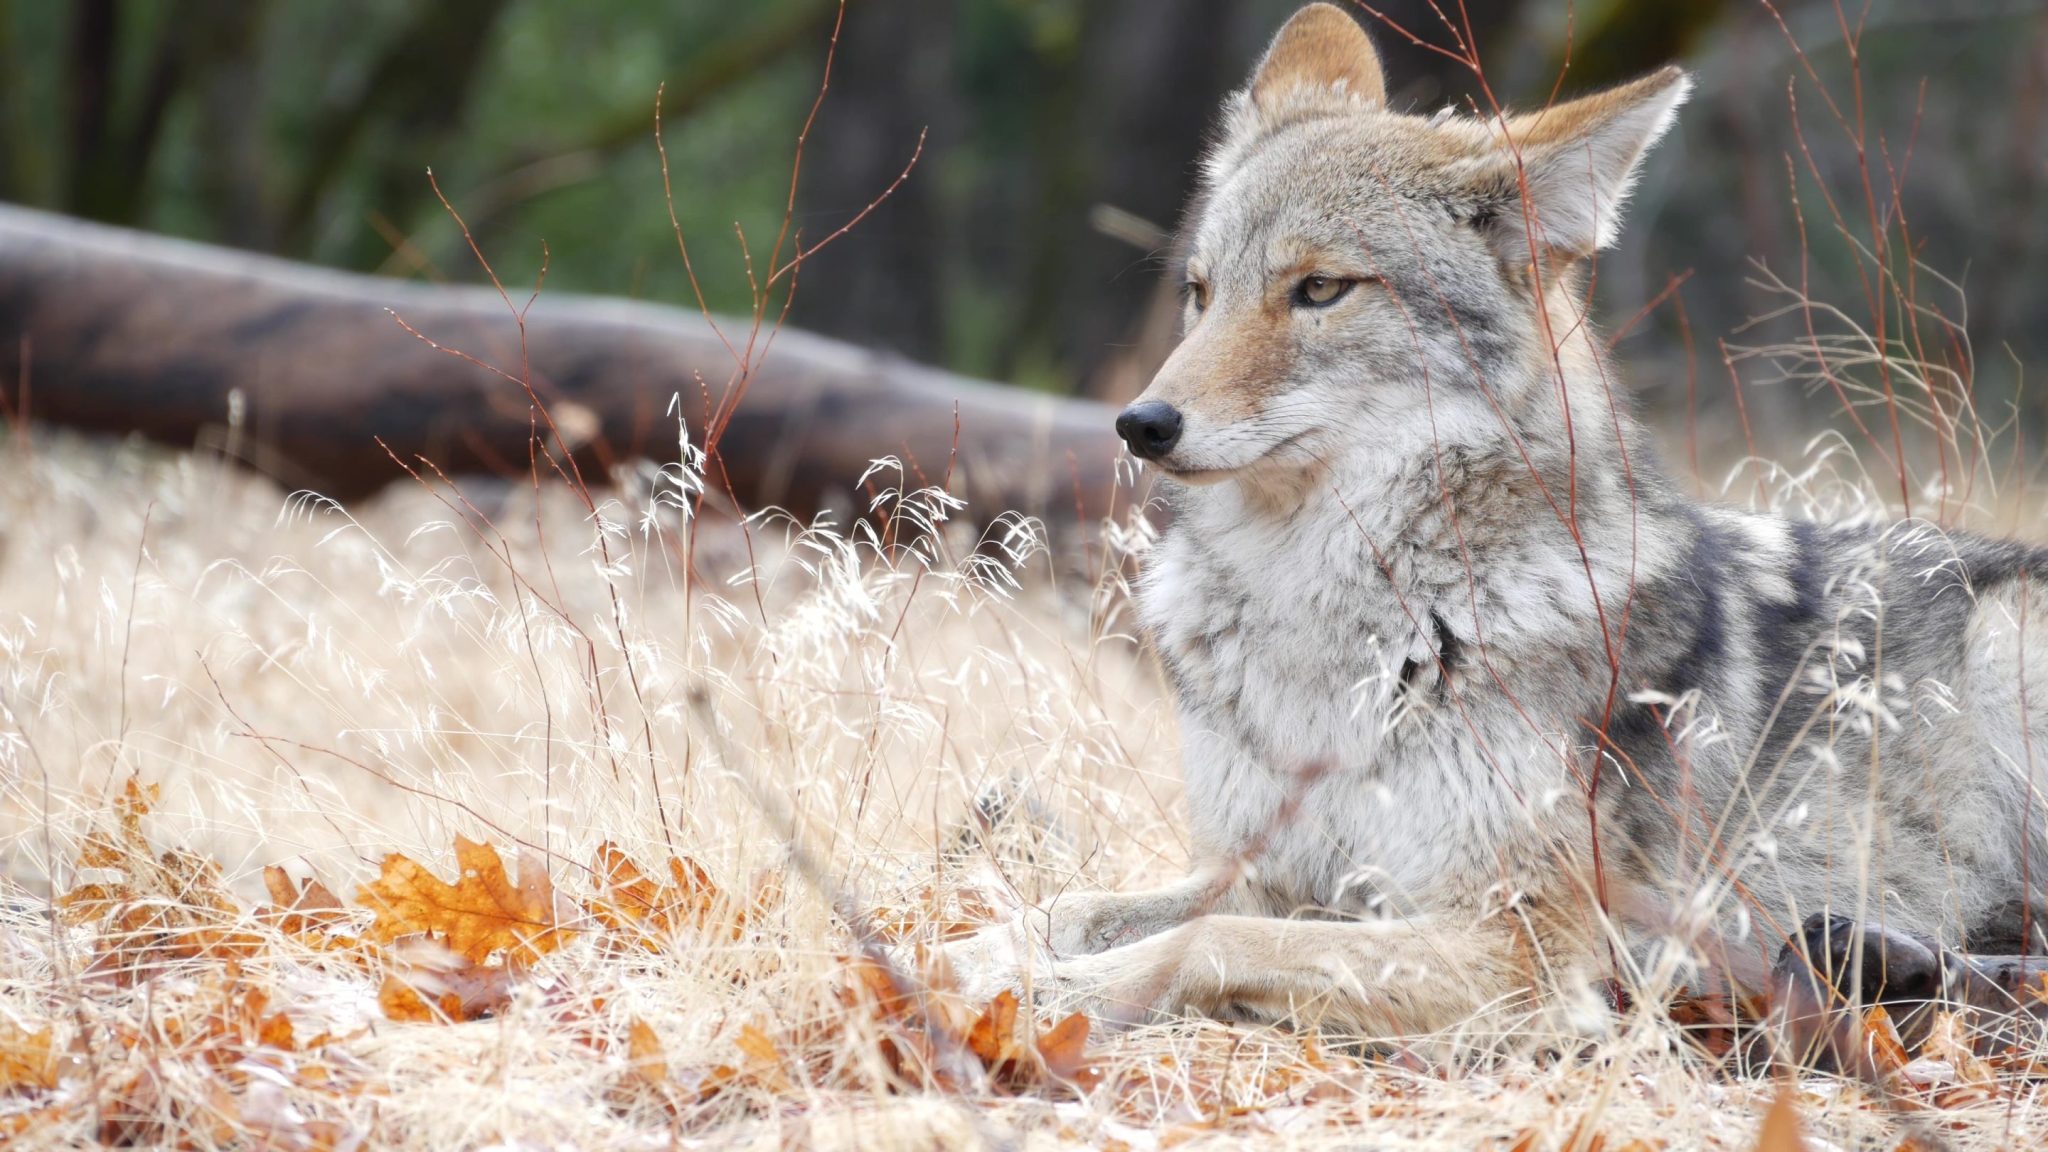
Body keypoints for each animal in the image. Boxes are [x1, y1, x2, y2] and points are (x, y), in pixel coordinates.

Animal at [942, 3, 2048, 1041]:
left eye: (1319, 289)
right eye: (1200, 294)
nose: (1140, 424)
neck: (1324, 624)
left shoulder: (1522, 944)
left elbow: (1206, 940)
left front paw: (1050, 992)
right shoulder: (1267, 868)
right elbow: (1081, 907)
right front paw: (968, 953)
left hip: (2011, 644)